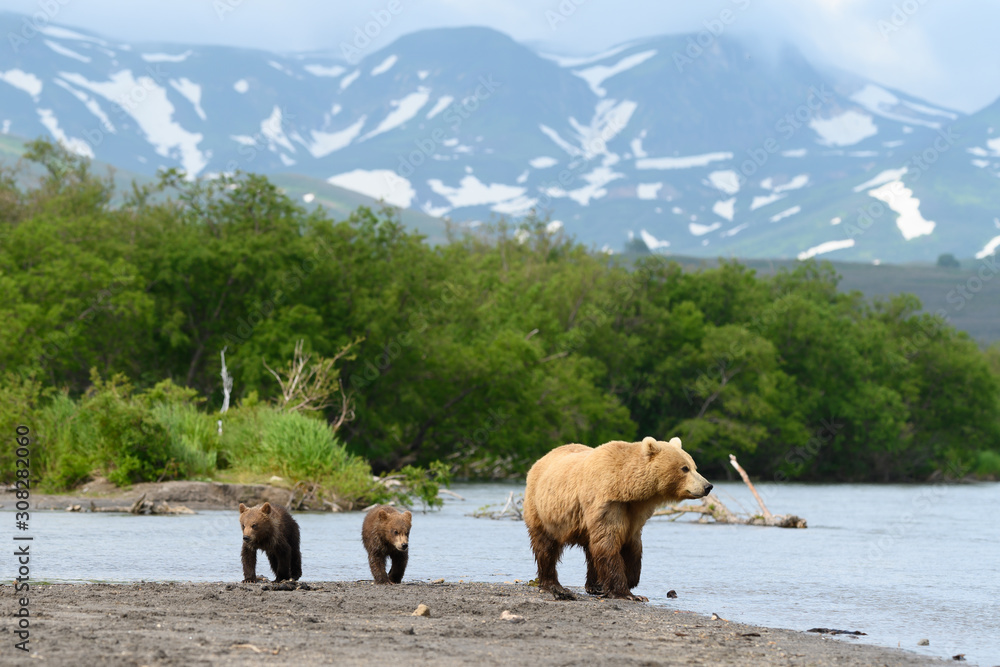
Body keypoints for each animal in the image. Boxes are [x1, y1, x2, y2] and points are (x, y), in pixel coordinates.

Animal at [522, 436, 712, 602]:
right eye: (684, 468)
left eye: (694, 466)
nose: (708, 486)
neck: (626, 488)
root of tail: (541, 459)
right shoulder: (607, 504)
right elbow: (608, 543)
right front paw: (626, 593)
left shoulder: (635, 512)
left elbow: (632, 544)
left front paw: (631, 578)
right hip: (542, 509)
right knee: (546, 547)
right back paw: (552, 584)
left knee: (591, 549)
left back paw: (595, 585)